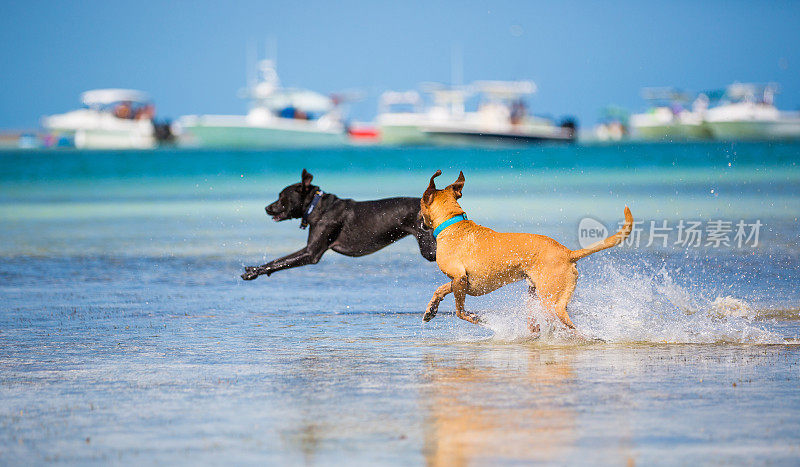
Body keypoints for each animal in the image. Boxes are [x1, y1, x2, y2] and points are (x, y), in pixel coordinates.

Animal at [241, 168, 434, 280]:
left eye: (281, 197)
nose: (267, 208)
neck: (317, 206)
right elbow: (279, 260)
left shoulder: (311, 252)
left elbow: (279, 261)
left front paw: (254, 271)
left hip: (428, 248)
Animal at [422, 170, 636, 330]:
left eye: (420, 205)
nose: (420, 222)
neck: (453, 223)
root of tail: (567, 253)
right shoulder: (460, 281)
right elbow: (440, 289)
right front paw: (431, 309)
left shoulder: (460, 279)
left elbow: (459, 310)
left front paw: (475, 318)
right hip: (537, 296)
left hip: (552, 303)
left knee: (571, 328)